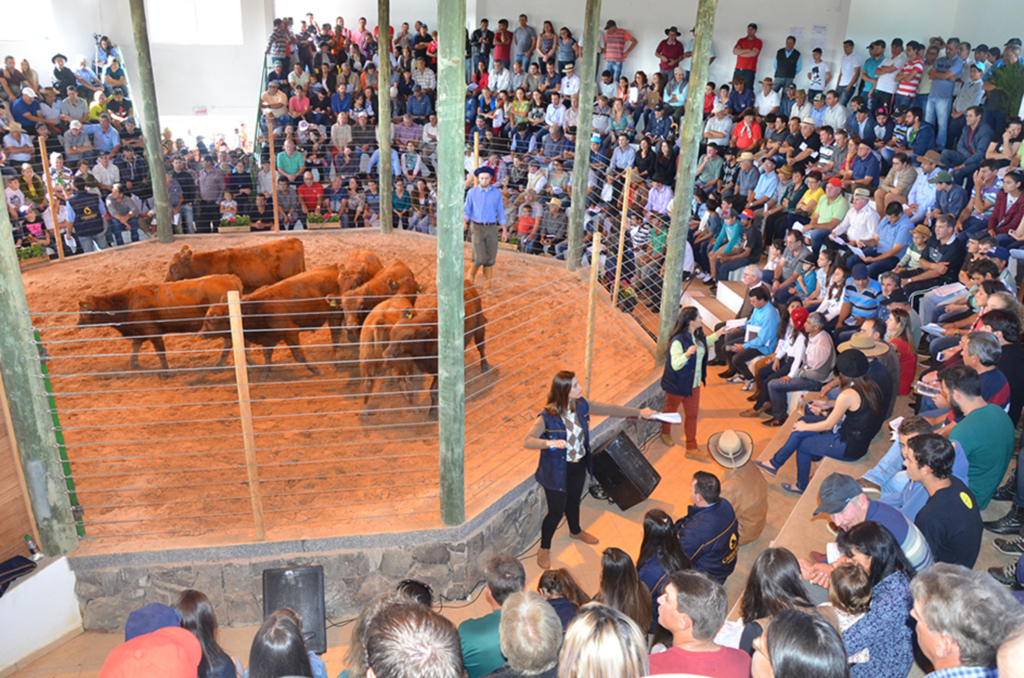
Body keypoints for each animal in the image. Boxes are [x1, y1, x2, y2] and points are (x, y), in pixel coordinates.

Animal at [78, 274, 242, 376]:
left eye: (84, 311)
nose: (78, 324)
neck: (128, 302)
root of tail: (231, 278)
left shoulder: (153, 332)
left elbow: (160, 352)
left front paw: (165, 372)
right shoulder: (139, 332)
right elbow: (135, 346)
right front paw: (133, 364)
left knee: (228, 343)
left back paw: (219, 365)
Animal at [198, 264, 339, 378]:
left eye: (209, 321)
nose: (200, 334)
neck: (256, 309)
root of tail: (333, 267)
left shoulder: (290, 332)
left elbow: (298, 355)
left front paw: (316, 370)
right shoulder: (268, 338)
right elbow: (267, 355)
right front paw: (266, 373)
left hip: (335, 315)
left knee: (335, 335)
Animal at [382, 280, 489, 419]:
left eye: (407, 337)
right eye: (392, 334)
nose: (387, 355)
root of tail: (467, 283)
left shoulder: (439, 371)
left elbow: (433, 391)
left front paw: (432, 412)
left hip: (479, 326)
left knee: (481, 346)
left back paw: (485, 366)